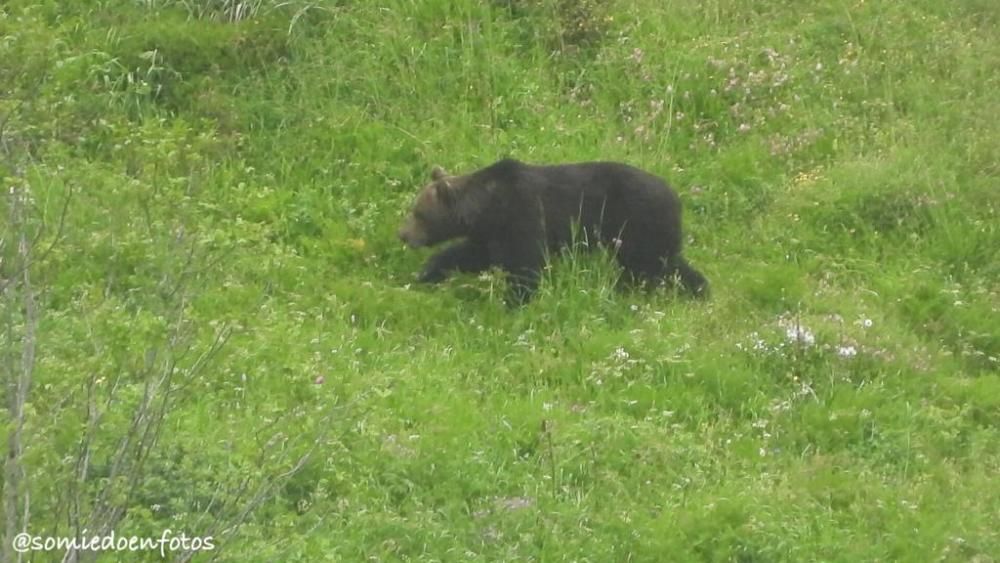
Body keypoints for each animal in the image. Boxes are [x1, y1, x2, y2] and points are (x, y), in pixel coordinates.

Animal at [394, 159, 708, 304]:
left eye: (418, 213)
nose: (403, 234)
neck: (488, 207)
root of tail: (676, 198)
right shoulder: (491, 233)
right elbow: (469, 254)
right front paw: (428, 272)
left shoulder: (523, 216)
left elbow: (526, 265)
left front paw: (514, 301)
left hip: (637, 223)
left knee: (651, 266)